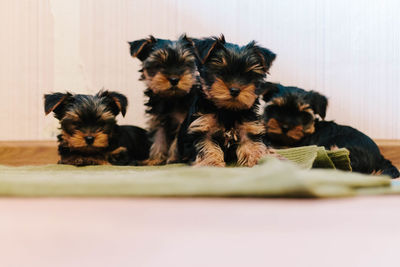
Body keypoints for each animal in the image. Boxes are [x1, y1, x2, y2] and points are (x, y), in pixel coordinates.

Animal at [130, 34, 202, 164]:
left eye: (185, 64)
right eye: (158, 65)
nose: (174, 79)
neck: (171, 98)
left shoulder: (183, 120)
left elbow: (176, 140)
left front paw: (173, 159)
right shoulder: (158, 119)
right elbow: (159, 137)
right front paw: (155, 159)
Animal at [179, 35, 276, 168]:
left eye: (248, 76)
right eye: (220, 72)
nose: (235, 90)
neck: (227, 110)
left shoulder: (249, 126)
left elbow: (253, 145)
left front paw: (258, 161)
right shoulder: (201, 127)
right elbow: (206, 147)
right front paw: (212, 164)